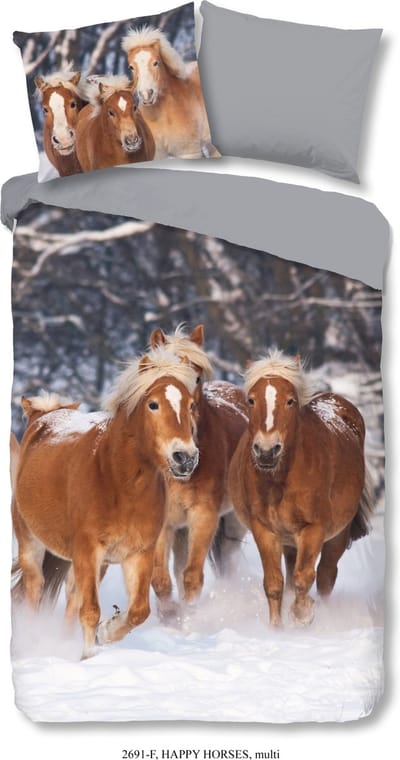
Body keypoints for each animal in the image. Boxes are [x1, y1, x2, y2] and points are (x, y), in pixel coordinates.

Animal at [12, 348, 199, 658]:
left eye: (191, 405)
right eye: (153, 404)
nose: (185, 457)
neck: (117, 481)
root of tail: (45, 416)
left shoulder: (138, 553)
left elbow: (138, 611)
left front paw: (106, 632)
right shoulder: (89, 550)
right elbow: (89, 611)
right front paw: (90, 655)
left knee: (72, 597)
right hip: (31, 544)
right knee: (35, 589)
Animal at [148, 324, 248, 617]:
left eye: (197, 377)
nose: (185, 456)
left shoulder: (203, 516)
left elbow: (191, 578)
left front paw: (190, 618)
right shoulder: (165, 523)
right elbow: (161, 579)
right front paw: (170, 616)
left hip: (233, 523)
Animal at [229, 349, 373, 627]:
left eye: (290, 401)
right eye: (251, 400)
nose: (266, 451)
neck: (281, 481)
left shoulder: (313, 529)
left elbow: (304, 578)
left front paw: (302, 615)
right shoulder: (265, 529)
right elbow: (274, 583)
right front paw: (276, 628)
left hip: (337, 535)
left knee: (326, 575)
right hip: (289, 540)